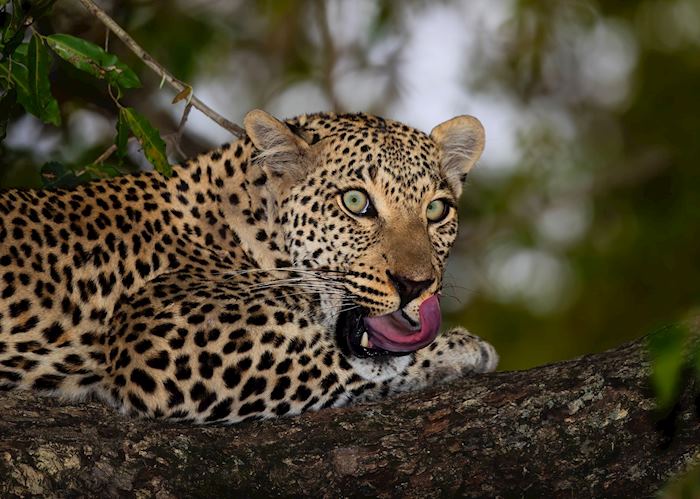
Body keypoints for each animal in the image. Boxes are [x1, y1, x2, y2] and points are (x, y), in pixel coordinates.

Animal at [0, 109, 498, 424]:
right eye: (356, 202)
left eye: (436, 210)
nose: (416, 285)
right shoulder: (164, 338)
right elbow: (325, 359)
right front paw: (460, 350)